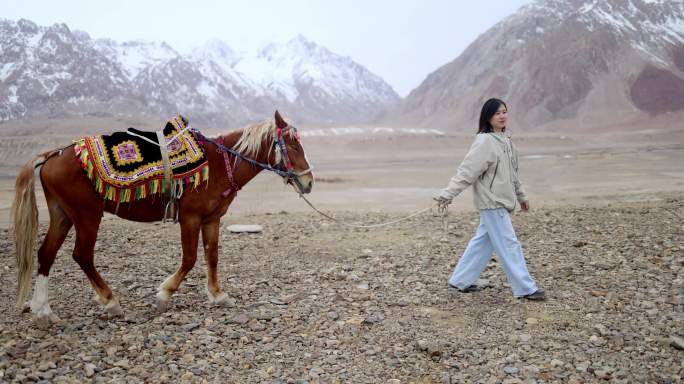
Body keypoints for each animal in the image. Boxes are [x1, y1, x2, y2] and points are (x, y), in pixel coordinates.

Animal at [12, 110, 314, 320]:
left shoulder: (212, 219)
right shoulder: (190, 218)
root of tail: (52, 155)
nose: (308, 182)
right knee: (82, 255)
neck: (219, 163)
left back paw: (43, 310)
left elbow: (212, 256)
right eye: (293, 146)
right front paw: (164, 295)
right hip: (87, 216)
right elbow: (190, 259)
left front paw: (218, 296)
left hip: (63, 214)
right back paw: (110, 302)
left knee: (46, 253)